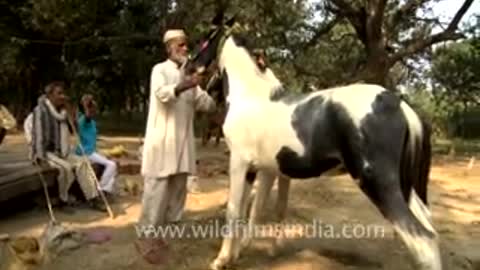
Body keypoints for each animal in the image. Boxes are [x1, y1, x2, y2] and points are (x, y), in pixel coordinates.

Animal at [188, 12, 442, 270]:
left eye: (206, 38)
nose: (189, 65)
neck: (252, 99)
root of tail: (398, 103)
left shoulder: (239, 164)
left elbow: (234, 211)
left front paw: (221, 260)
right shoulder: (263, 169)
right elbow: (256, 209)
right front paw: (239, 253)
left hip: (378, 184)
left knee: (421, 238)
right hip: (403, 186)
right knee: (428, 228)